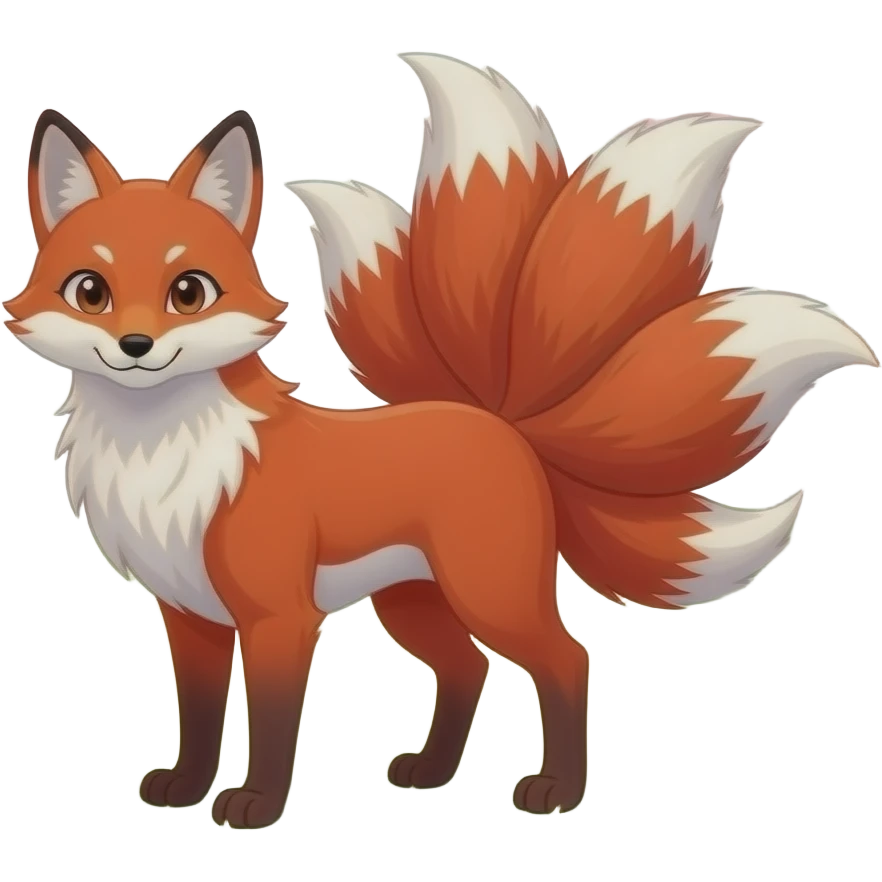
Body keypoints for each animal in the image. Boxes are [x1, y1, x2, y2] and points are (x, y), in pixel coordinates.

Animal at [7, 61, 879, 830]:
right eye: (90, 291)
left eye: (188, 292)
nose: (136, 345)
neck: (163, 456)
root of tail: (501, 421)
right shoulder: (189, 614)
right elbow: (195, 715)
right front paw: (185, 789)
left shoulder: (278, 618)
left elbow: (272, 725)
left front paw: (254, 805)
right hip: (413, 601)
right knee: (469, 667)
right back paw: (431, 771)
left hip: (489, 591)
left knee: (567, 660)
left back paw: (556, 790)